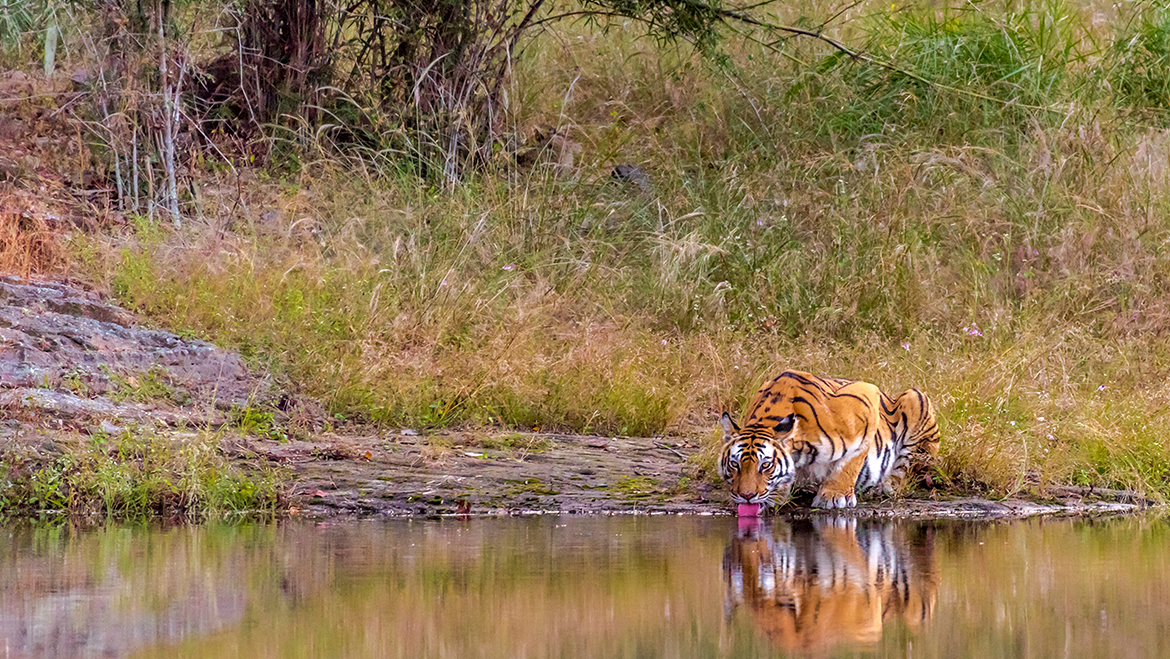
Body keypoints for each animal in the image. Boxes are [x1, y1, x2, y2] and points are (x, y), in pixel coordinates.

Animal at [716, 372, 935, 510]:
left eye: (765, 465)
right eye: (734, 464)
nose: (746, 496)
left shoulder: (867, 397)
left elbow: (850, 463)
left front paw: (834, 496)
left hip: (916, 397)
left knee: (903, 471)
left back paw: (884, 486)